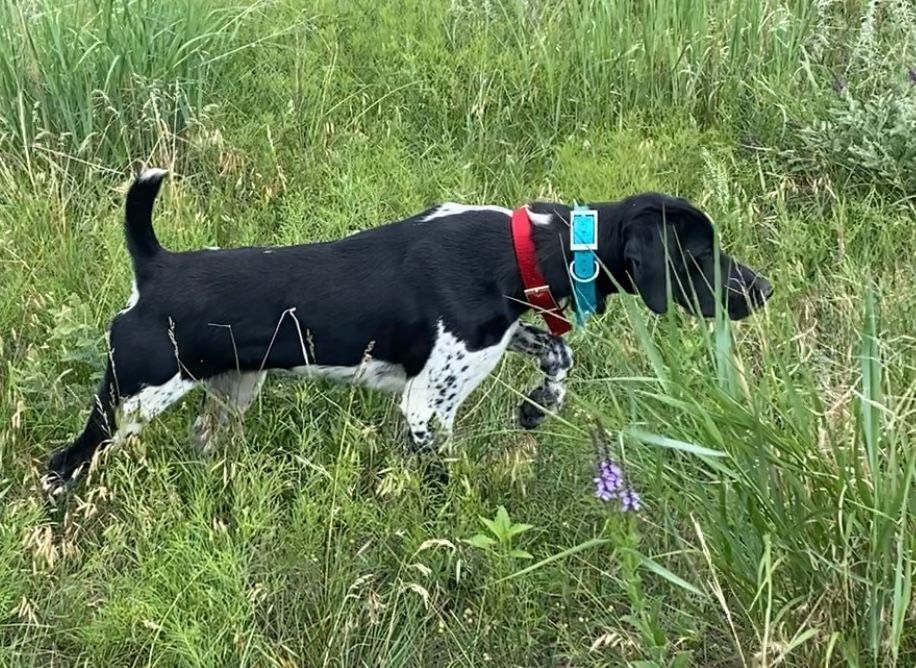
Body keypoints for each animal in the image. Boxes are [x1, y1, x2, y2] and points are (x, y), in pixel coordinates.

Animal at [42, 169, 772, 496]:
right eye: (702, 253)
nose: (763, 289)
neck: (525, 249)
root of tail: (155, 267)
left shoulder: (492, 340)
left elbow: (556, 351)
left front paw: (537, 408)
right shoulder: (428, 409)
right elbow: (450, 483)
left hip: (228, 394)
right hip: (130, 401)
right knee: (60, 466)